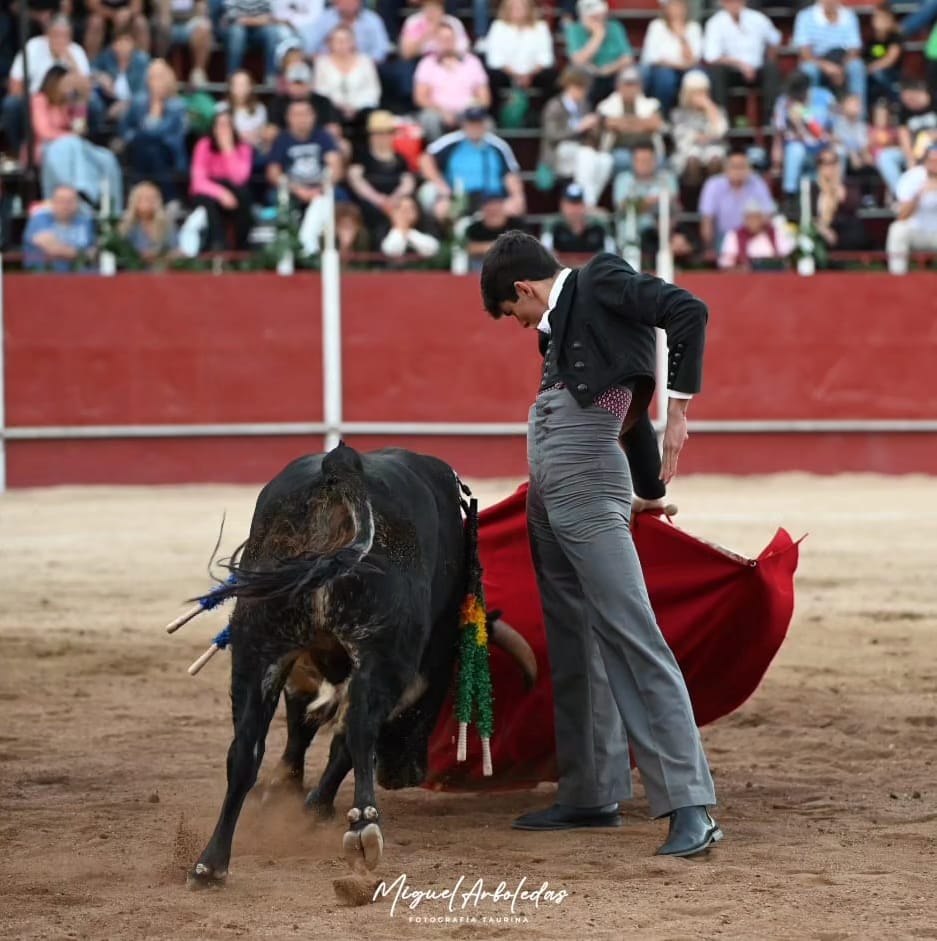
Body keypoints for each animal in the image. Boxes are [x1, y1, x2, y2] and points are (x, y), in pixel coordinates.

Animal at [188, 444, 532, 884]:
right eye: (444, 689)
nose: (405, 774)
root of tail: (341, 467)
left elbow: (302, 720)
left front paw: (287, 789)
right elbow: (344, 736)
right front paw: (314, 804)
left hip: (257, 645)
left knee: (245, 747)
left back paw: (210, 863)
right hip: (381, 654)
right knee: (359, 728)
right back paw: (362, 824)